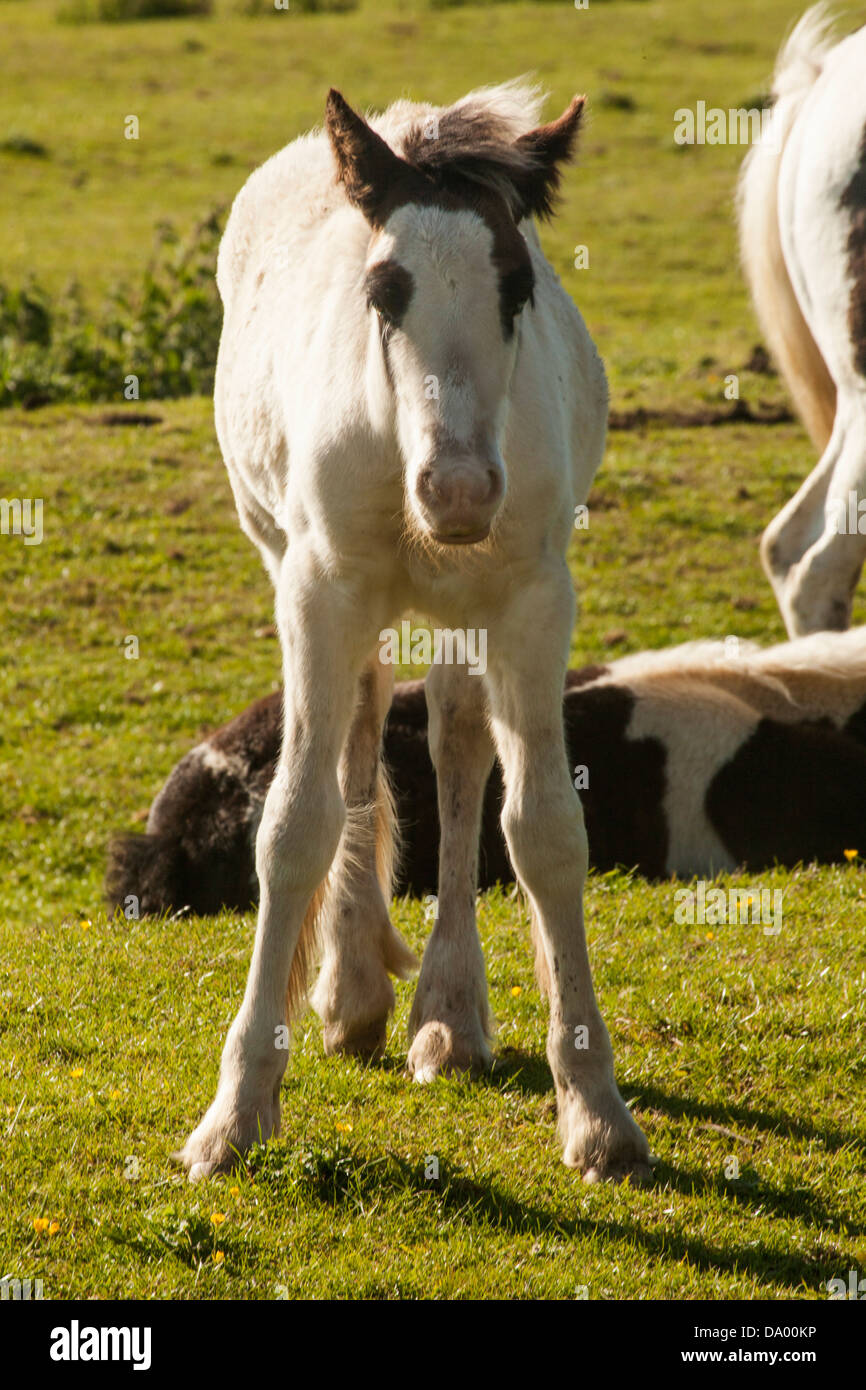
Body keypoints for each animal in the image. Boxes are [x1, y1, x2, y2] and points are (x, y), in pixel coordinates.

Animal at [173, 81, 651, 1184]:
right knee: (354, 736)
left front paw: (595, 1109)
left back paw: (448, 1013)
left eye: (517, 285)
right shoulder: (319, 588)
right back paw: (351, 987)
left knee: (455, 739)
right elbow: (292, 823)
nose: (459, 490)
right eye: (384, 290)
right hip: (302, 568)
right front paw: (236, 1111)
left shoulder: (532, 602)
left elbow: (544, 830)